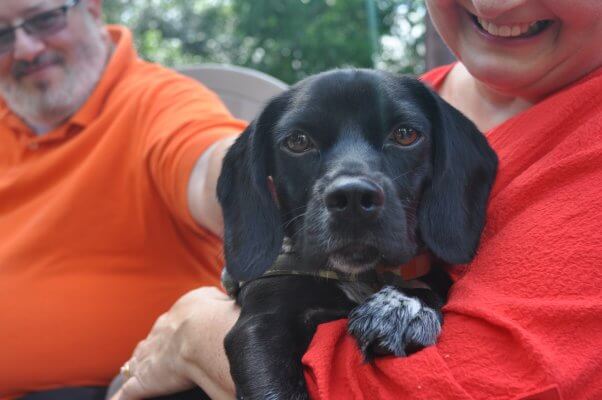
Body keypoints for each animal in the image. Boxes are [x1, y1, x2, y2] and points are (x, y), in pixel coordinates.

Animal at [213, 69, 494, 400]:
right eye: (297, 141)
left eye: (405, 134)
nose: (353, 199)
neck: (358, 276)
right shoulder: (259, 327)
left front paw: (401, 306)